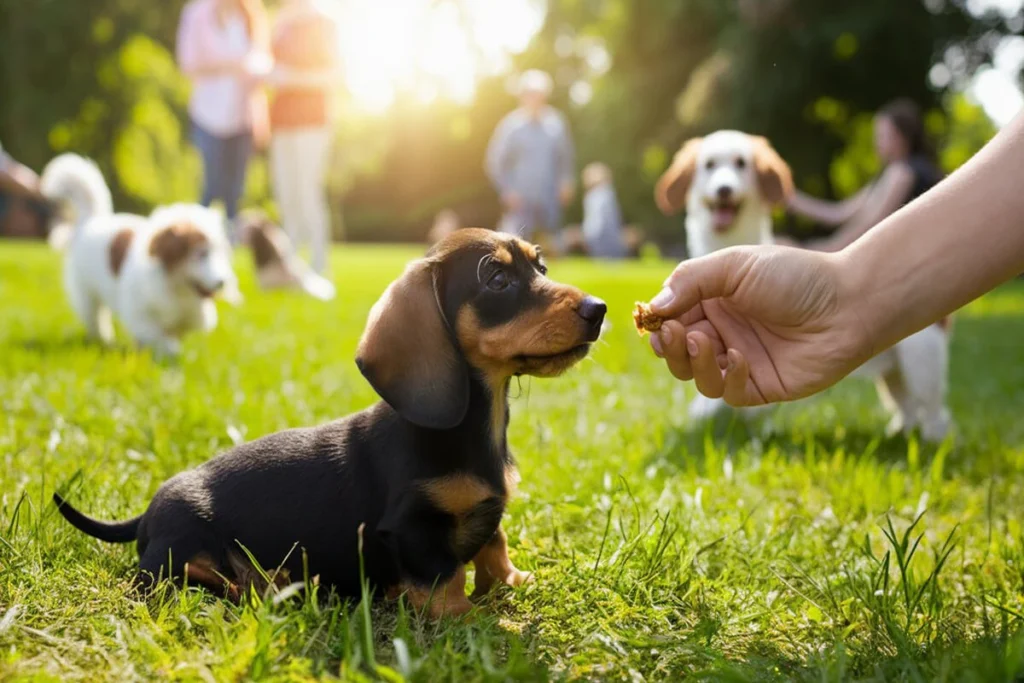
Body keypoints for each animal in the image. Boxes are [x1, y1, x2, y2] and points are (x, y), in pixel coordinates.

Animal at [40, 154, 240, 358]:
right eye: (201, 253)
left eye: (221, 253)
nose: (222, 282)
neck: (177, 288)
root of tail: (91, 220)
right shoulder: (139, 317)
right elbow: (163, 341)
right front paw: (166, 352)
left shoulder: (181, 319)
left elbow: (173, 333)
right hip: (86, 294)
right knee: (96, 319)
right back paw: (103, 340)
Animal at [51, 227, 602, 618]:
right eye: (497, 279)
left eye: (541, 265)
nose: (599, 309)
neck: (475, 428)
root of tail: (146, 511)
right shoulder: (413, 528)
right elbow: (443, 579)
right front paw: (469, 618)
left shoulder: (488, 514)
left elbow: (494, 543)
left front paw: (512, 581)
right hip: (179, 551)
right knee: (170, 578)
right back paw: (261, 587)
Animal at [655, 132, 950, 444]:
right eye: (709, 165)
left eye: (741, 163)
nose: (724, 189)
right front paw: (703, 415)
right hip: (894, 371)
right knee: (905, 404)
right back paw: (902, 432)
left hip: (921, 362)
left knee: (934, 411)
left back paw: (932, 440)